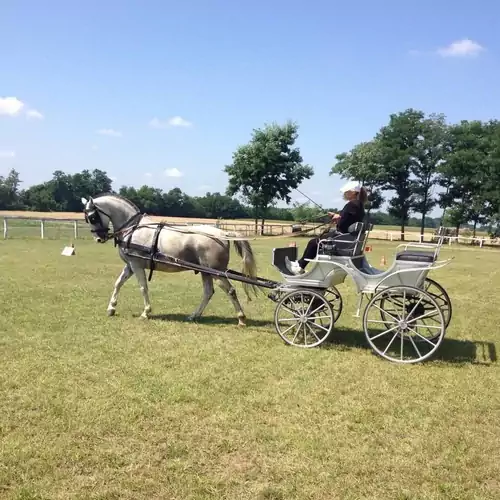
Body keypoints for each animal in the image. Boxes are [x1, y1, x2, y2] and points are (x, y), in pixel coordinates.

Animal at [80, 191, 260, 324]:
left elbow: (143, 287)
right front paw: (111, 308)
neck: (133, 228)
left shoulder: (137, 265)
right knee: (208, 292)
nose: (99, 238)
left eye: (93, 217)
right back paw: (194, 315)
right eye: (87, 218)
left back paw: (241, 318)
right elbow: (118, 283)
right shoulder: (130, 265)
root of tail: (223, 233)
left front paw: (146, 312)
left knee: (230, 290)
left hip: (216, 272)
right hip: (206, 271)